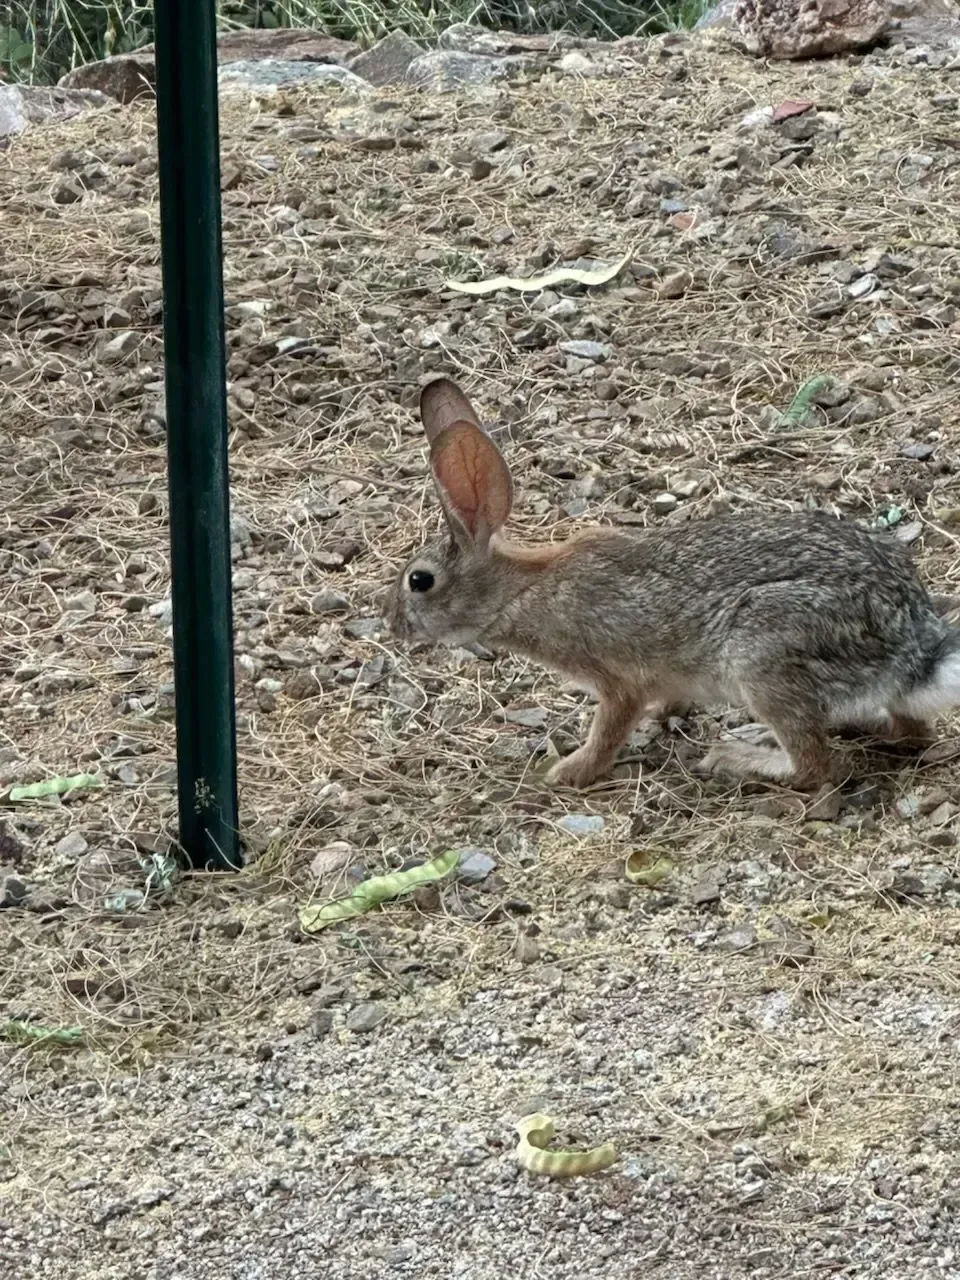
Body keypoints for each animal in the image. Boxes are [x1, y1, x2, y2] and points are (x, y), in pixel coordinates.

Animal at [387, 376, 960, 791]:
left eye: (420, 580)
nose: (392, 625)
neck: (520, 590)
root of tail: (912, 647)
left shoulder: (616, 679)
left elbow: (610, 728)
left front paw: (568, 772)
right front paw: (667, 718)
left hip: (765, 653)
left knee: (817, 768)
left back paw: (737, 758)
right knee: (909, 731)